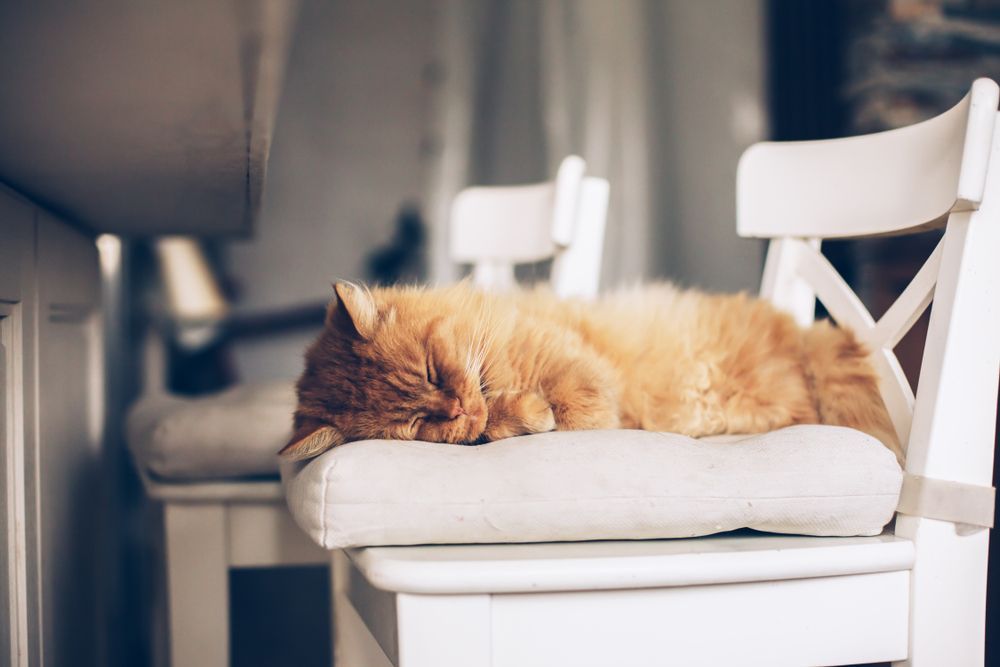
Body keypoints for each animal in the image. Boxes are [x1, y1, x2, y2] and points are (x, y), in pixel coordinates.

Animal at [278, 282, 904, 464]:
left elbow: (576, 411)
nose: (454, 408)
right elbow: (507, 423)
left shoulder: (580, 371)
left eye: (433, 371)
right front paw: (521, 416)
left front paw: (533, 412)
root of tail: (798, 331)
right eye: (416, 425)